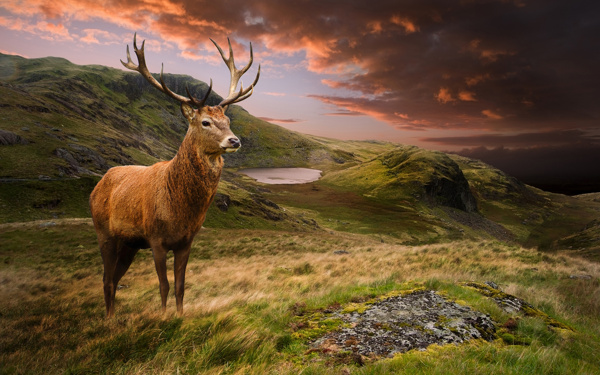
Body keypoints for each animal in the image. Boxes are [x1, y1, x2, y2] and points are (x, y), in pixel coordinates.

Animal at [90, 33, 258, 318]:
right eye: (205, 122)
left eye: (227, 120)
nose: (235, 140)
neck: (179, 209)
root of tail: (96, 186)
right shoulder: (156, 239)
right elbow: (164, 285)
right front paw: (164, 317)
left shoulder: (186, 241)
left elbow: (180, 285)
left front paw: (180, 316)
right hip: (104, 233)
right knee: (106, 279)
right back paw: (108, 319)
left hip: (129, 244)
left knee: (113, 278)